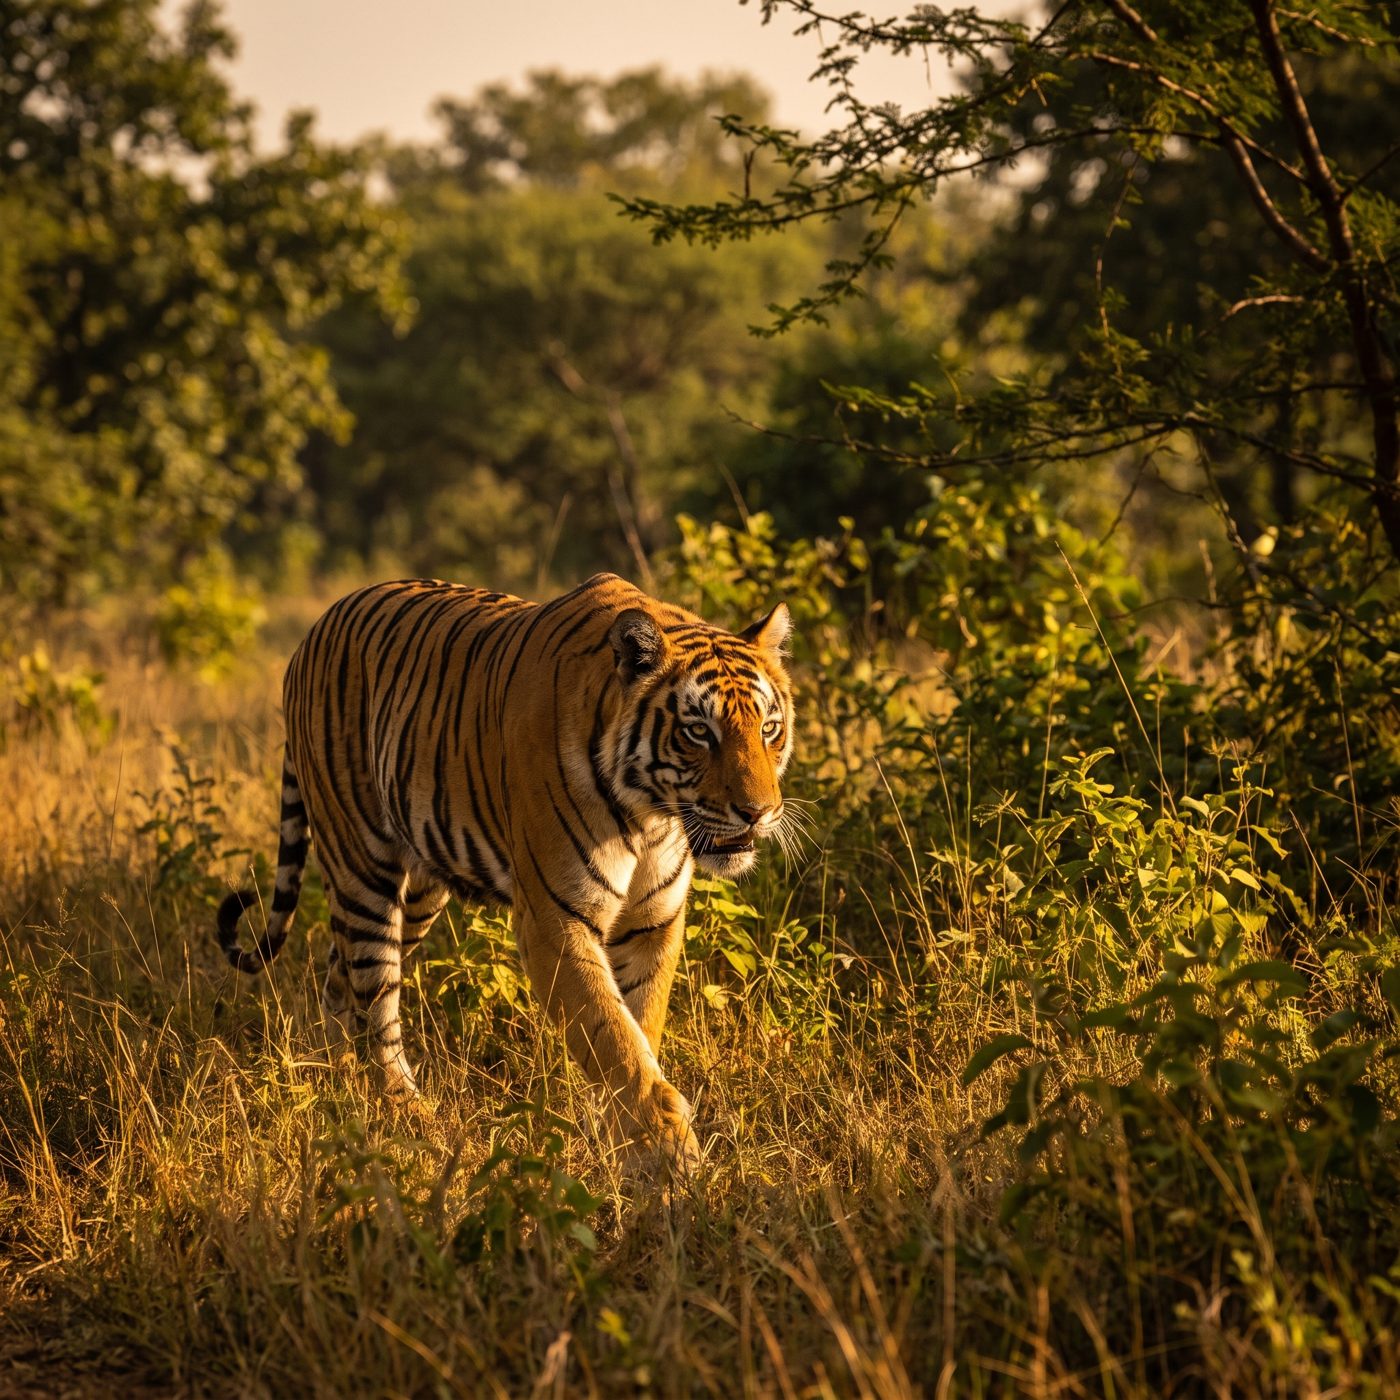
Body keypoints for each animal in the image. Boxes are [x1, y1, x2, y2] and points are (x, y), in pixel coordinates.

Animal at [216, 572, 794, 1167]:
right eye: (699, 731)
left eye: (769, 728)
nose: (758, 812)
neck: (650, 814)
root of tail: (313, 631)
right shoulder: (555, 920)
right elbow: (612, 1035)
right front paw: (668, 1155)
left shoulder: (653, 921)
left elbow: (639, 1027)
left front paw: (627, 1139)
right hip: (361, 863)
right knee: (376, 998)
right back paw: (407, 1113)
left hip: (419, 892)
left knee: (341, 974)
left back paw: (337, 1083)